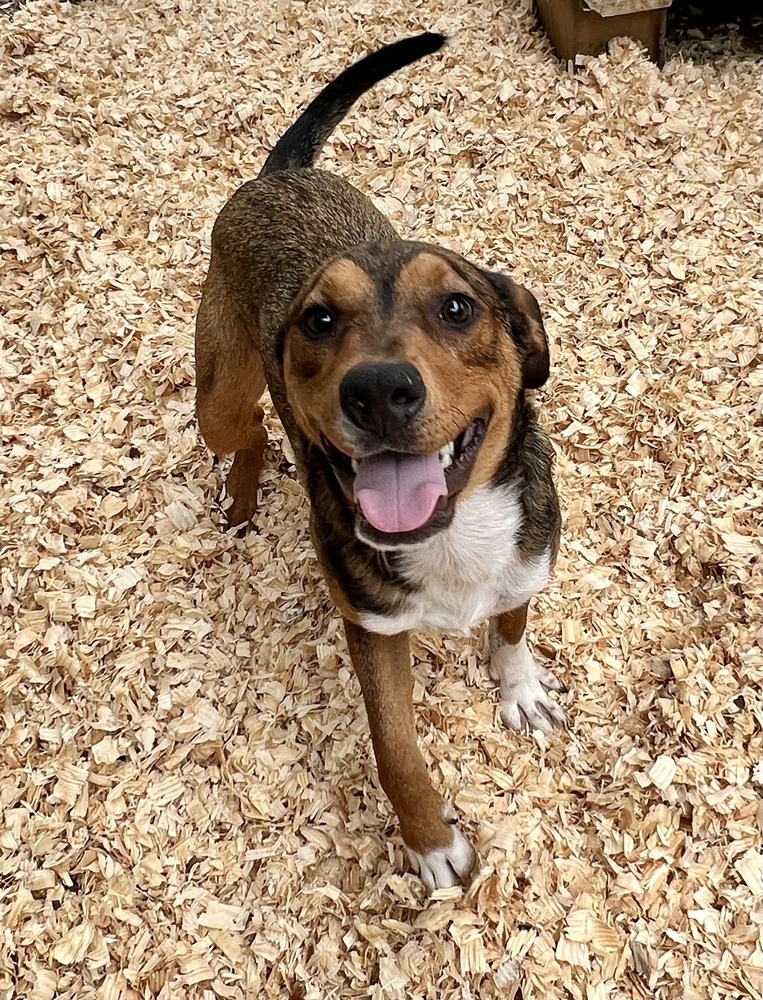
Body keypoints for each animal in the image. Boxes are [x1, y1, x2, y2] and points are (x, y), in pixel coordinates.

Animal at [195, 33, 568, 892]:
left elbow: (510, 627)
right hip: (217, 398)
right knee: (252, 429)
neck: (453, 535)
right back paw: (241, 497)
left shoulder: (526, 562)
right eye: (318, 320)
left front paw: (519, 691)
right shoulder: (371, 627)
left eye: (457, 307)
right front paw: (430, 842)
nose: (377, 391)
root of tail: (278, 176)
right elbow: (395, 746)